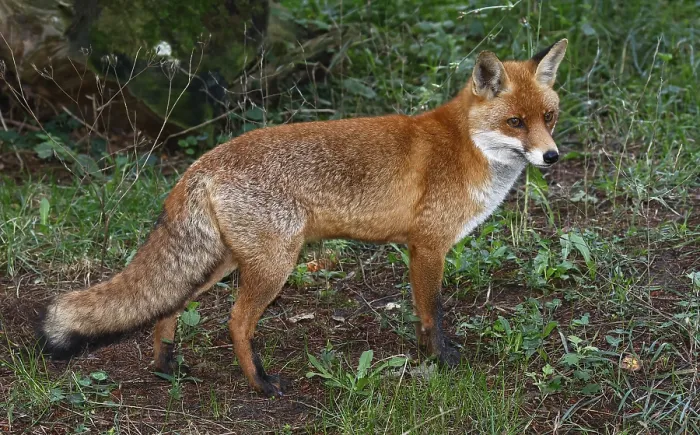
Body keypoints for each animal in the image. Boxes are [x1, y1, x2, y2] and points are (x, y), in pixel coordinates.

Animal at [38, 40, 567, 397]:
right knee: (235, 322)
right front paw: (442, 361)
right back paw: (261, 384)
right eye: (515, 122)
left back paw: (168, 367)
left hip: (224, 263)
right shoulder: (427, 246)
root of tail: (201, 163)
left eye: (549, 117)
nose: (552, 157)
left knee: (168, 306)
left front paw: (429, 358)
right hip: (274, 266)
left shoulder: (422, 249)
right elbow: (432, 313)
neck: (468, 148)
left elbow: (425, 316)